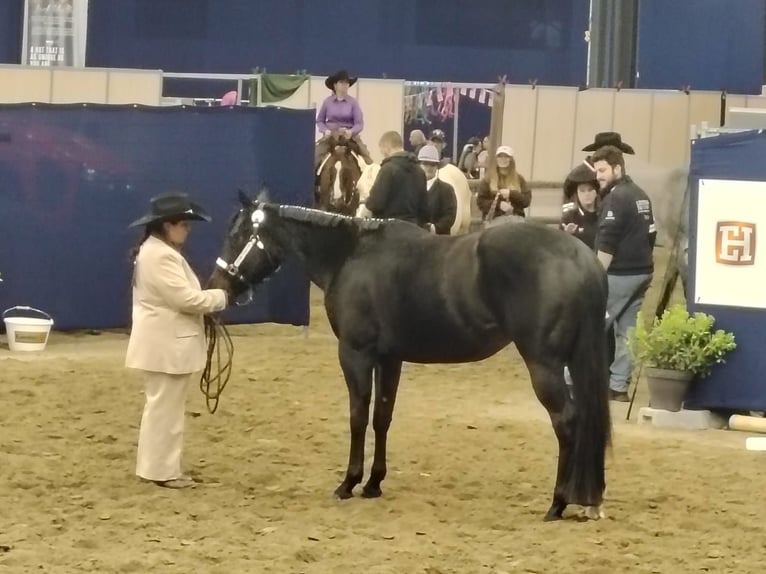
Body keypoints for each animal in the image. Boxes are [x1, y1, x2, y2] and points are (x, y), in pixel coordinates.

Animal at [208, 191, 612, 522]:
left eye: (238, 235)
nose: (218, 286)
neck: (350, 255)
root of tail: (581, 257)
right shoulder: (390, 359)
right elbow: (382, 417)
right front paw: (373, 484)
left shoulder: (355, 354)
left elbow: (358, 417)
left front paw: (348, 483)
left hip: (545, 365)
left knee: (567, 421)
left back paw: (558, 503)